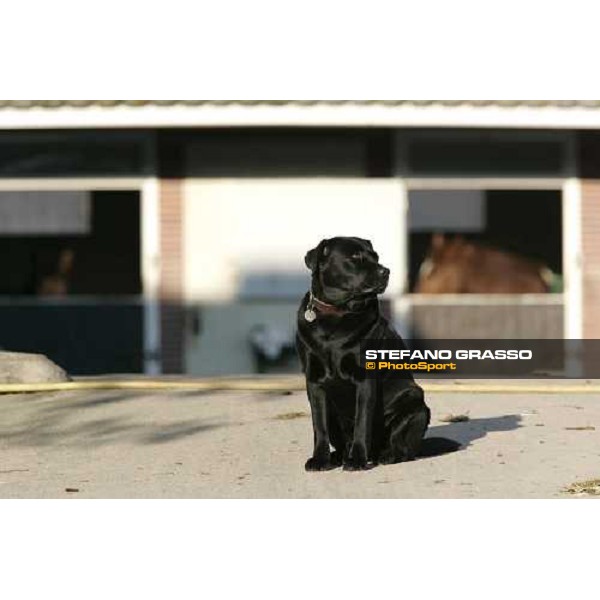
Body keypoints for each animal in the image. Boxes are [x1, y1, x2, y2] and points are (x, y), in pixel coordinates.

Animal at [296, 237, 460, 472]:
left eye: (376, 257)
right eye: (355, 257)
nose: (386, 271)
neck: (338, 313)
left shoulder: (365, 379)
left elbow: (362, 422)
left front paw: (357, 460)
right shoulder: (314, 380)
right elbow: (319, 426)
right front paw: (320, 460)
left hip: (415, 403)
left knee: (404, 449)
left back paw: (385, 456)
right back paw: (339, 456)